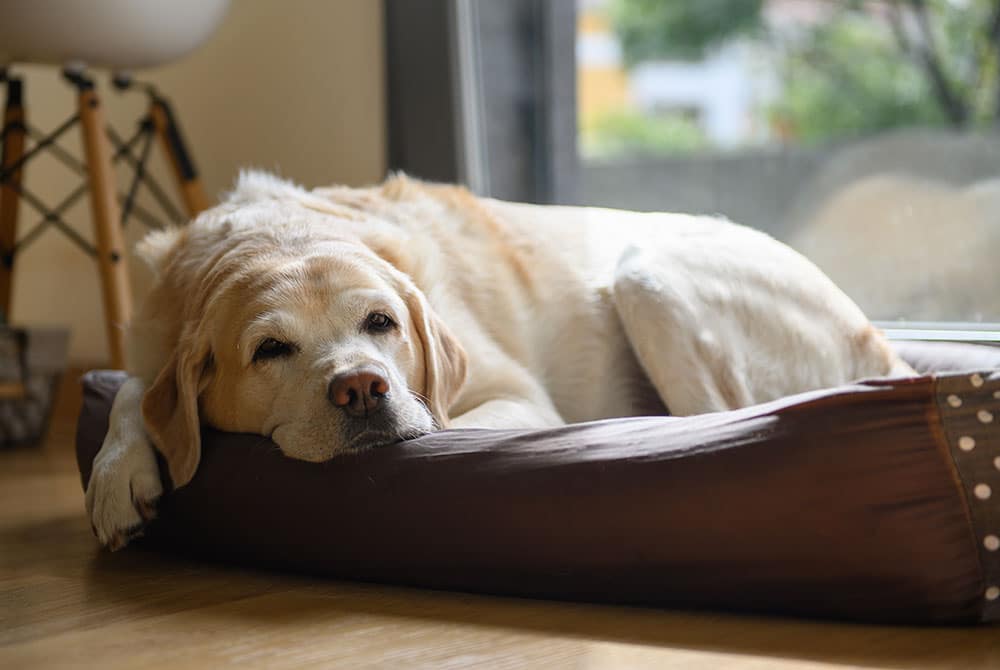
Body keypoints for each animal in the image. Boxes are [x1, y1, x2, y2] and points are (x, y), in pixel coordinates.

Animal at [86, 172, 916, 552]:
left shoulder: (508, 393)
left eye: (381, 323)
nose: (362, 388)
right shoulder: (154, 342)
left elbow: (450, 424)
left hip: (646, 275)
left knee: (720, 419)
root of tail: (883, 342)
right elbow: (133, 390)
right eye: (270, 350)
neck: (278, 234)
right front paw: (118, 475)